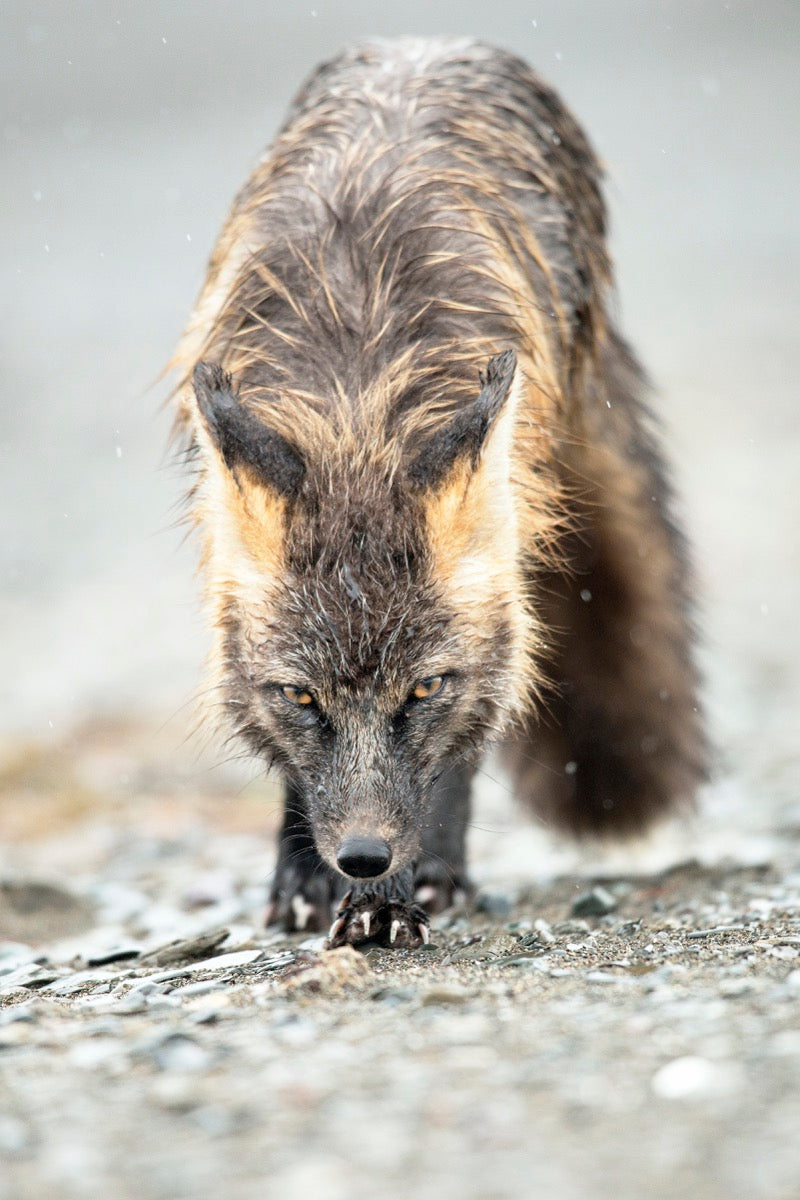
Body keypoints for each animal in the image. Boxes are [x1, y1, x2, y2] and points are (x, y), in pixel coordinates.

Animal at [172, 38, 705, 948]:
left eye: (422, 690)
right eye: (302, 696)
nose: (362, 859)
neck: (358, 394)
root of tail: (425, 42)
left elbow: (448, 760)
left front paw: (393, 897)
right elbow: (300, 777)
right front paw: (308, 876)